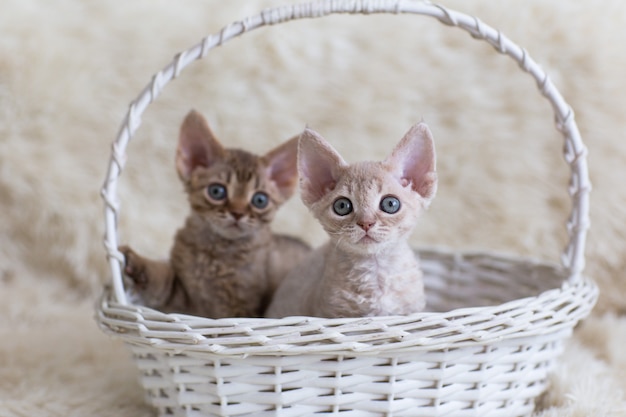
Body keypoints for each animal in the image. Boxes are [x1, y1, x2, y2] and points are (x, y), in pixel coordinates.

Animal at [119, 109, 310, 316]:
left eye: (260, 200)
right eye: (217, 191)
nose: (237, 213)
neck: (215, 253)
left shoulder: (241, 309)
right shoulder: (182, 296)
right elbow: (162, 278)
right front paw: (136, 261)